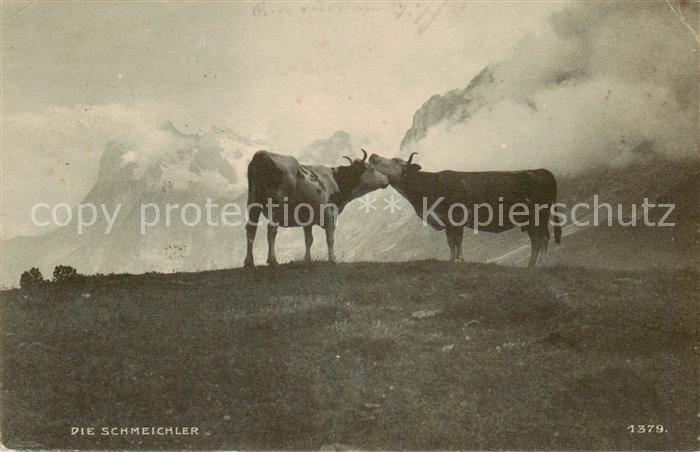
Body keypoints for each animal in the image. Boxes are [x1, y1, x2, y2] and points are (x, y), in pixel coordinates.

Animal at [245, 148, 388, 268]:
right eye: (371, 168)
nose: (386, 179)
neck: (337, 181)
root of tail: (262, 154)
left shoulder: (307, 219)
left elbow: (309, 240)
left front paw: (307, 260)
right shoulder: (331, 213)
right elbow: (330, 239)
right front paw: (333, 260)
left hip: (253, 202)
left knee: (251, 229)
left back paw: (249, 262)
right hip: (277, 205)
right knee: (271, 230)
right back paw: (272, 260)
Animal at [370, 152, 560, 266]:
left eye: (395, 161)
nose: (373, 155)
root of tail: (541, 171)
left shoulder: (455, 217)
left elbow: (457, 240)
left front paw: (459, 260)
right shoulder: (447, 221)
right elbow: (451, 242)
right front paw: (452, 260)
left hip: (539, 216)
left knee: (542, 238)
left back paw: (540, 264)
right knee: (538, 239)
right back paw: (533, 265)